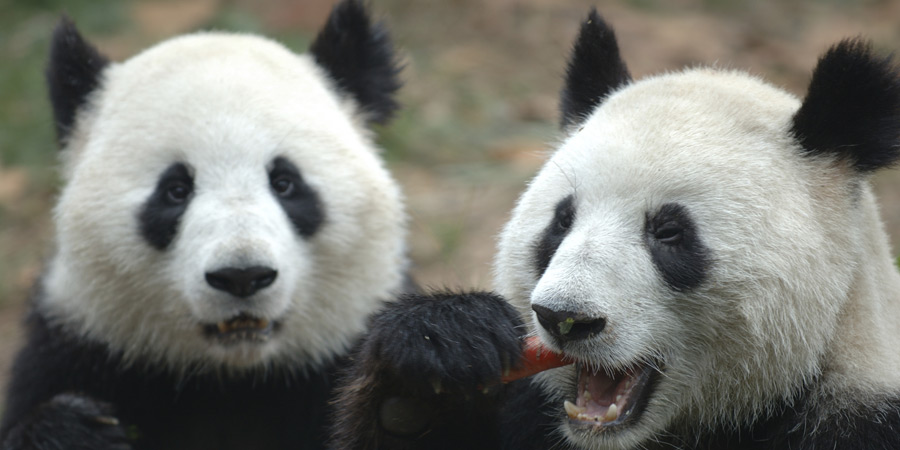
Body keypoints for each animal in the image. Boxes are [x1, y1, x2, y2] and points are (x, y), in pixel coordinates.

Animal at [0, 1, 409, 449]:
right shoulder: (79, 342)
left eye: (285, 183)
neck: (233, 375)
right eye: (176, 190)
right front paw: (73, 430)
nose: (242, 276)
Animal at [329, 9, 900, 450]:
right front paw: (433, 360)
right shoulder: (530, 413)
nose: (563, 319)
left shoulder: (854, 415)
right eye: (562, 221)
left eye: (669, 233)